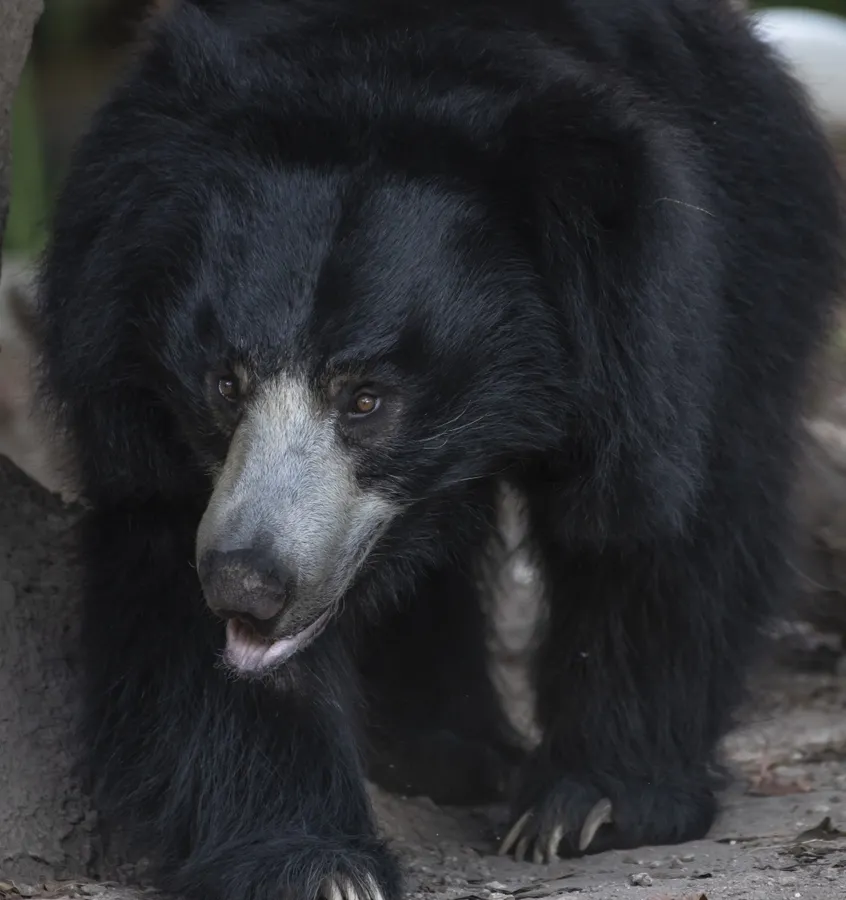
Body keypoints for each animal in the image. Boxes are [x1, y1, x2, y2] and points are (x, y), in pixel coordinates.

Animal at [34, 1, 844, 899]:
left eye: (367, 400)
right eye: (226, 382)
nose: (247, 585)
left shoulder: (706, 282)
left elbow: (656, 520)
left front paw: (590, 809)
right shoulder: (124, 355)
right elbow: (171, 578)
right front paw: (316, 864)